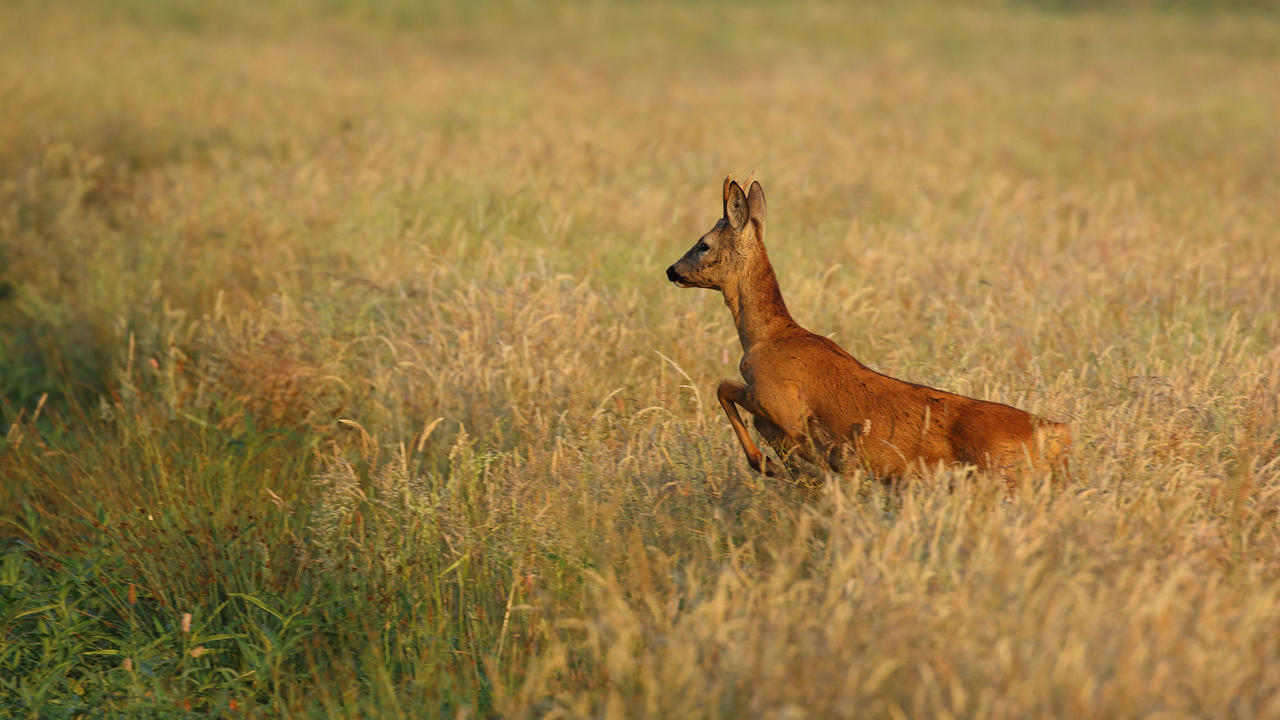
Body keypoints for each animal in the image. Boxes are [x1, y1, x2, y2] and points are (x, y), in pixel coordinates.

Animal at [665, 172, 1075, 481]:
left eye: (703, 244)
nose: (671, 270)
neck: (766, 337)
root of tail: (1053, 432)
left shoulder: (780, 405)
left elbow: (724, 388)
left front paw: (764, 464)